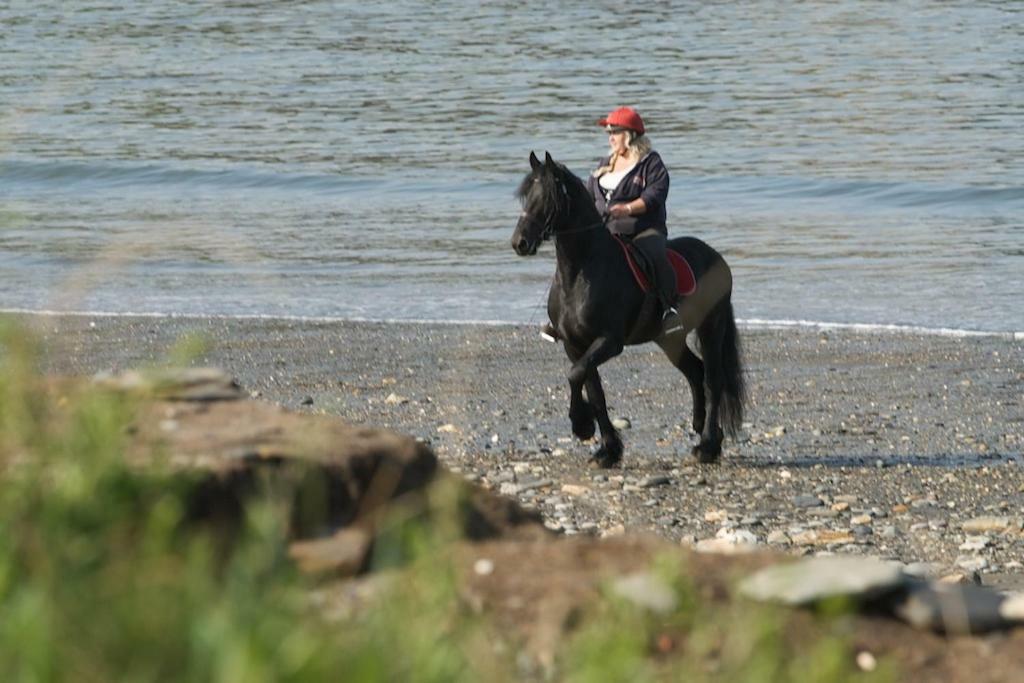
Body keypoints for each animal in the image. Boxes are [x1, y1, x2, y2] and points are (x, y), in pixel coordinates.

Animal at [512, 152, 745, 466]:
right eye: (526, 195)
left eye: (549, 196)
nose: (520, 243)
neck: (581, 271)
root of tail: (716, 257)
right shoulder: (575, 345)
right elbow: (592, 389)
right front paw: (608, 449)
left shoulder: (609, 341)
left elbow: (576, 375)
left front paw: (582, 425)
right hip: (670, 338)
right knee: (695, 372)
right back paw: (700, 428)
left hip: (712, 327)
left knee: (713, 379)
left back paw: (708, 445)